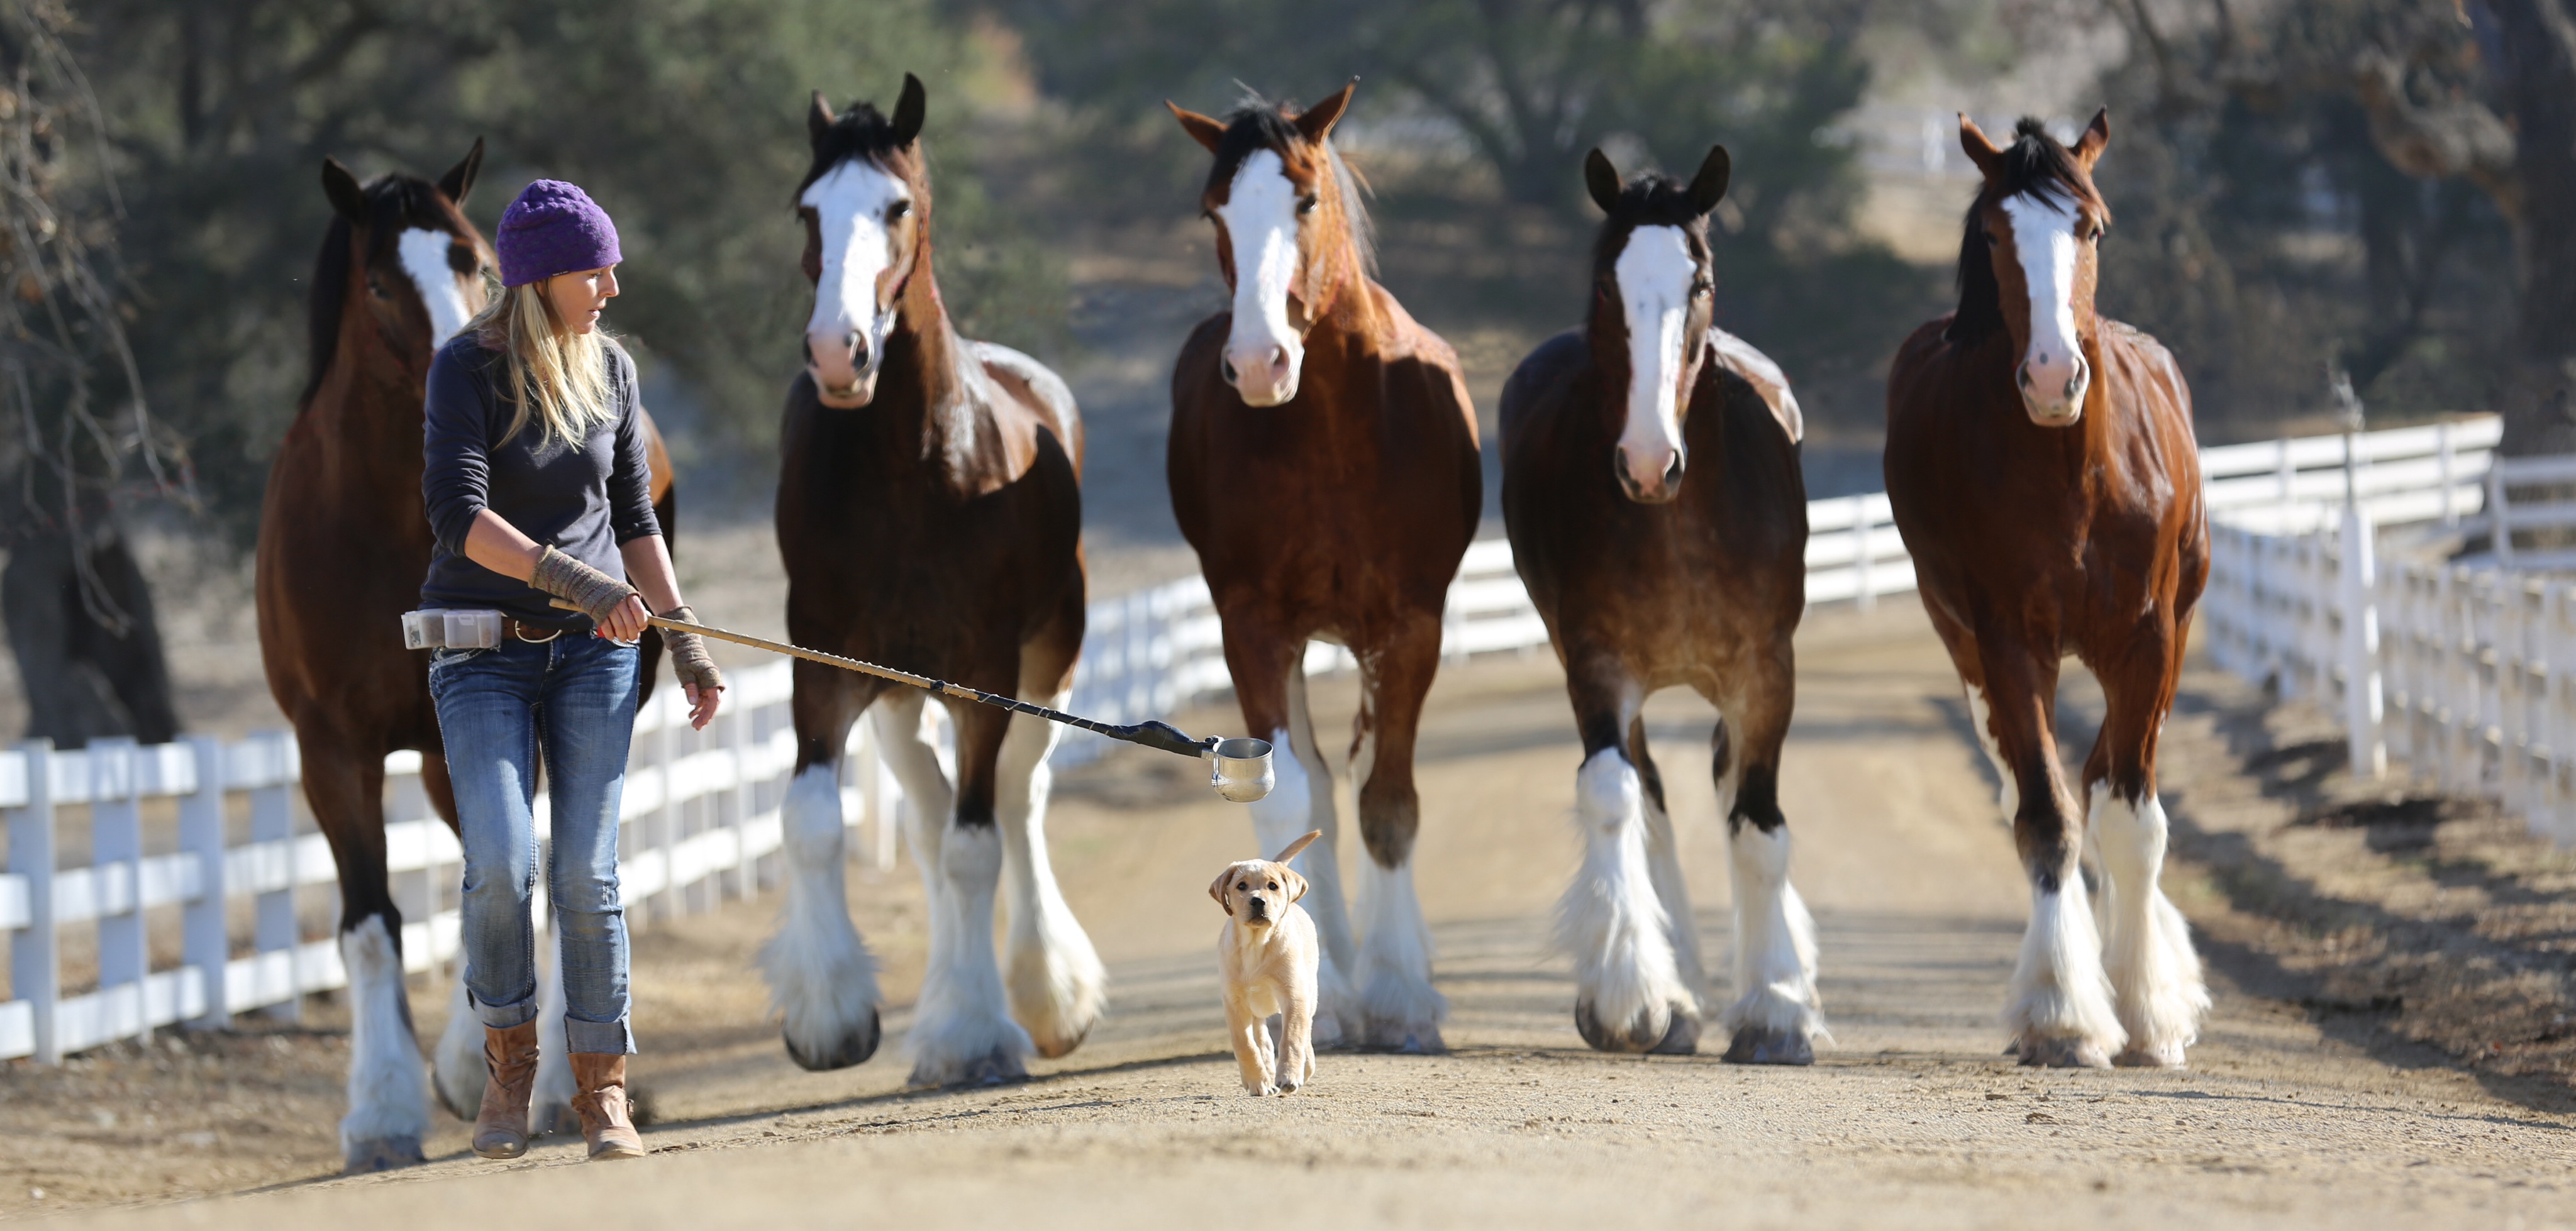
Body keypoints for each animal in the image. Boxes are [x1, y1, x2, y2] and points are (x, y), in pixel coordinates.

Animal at [752, 77, 1097, 1086]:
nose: (840, 352)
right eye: (808, 208)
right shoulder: (824, 664)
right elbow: (812, 820)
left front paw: (975, 1031)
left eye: (896, 206)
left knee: (1013, 802)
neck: (916, 467)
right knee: (926, 813)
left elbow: (978, 846)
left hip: (1045, 663)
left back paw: (1041, 994)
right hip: (904, 695)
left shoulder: (986, 677)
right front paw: (829, 1015)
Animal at [1164, 84, 1473, 1051]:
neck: (1334, 432)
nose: (1258, 363)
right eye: (1214, 210)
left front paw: (1403, 992)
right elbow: (1297, 802)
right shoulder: (1254, 626)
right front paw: (1332, 993)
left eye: (1303, 198)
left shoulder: (1409, 628)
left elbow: (1391, 800)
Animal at [1211, 834, 1329, 1091]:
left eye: (1273, 886)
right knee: (1262, 1038)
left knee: (1305, 1031)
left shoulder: (1293, 995)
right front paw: (1258, 1081)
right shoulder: (1234, 1003)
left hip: (1310, 992)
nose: (1258, 901)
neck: (1256, 944)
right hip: (1255, 1009)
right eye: (1241, 886)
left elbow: (1292, 1037)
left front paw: (1289, 1075)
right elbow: (1245, 1044)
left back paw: (1305, 1067)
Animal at [1504, 151, 1823, 1056]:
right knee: (1647, 793)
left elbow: (1758, 825)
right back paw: (1675, 988)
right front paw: (1631, 998)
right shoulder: (1598, 665)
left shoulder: (1765, 670)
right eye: (1606, 283)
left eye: (1700, 280)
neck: (1674, 519)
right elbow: (1615, 798)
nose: (1648, 461)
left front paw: (1777, 1004)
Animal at [1875, 115, 2215, 1071]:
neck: (2073, 472)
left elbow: (2130, 817)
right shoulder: (2007, 641)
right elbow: (2046, 816)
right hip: (1965, 643)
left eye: (2089, 227)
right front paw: (2064, 1013)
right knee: (2052, 794)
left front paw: (2150, 1011)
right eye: (1995, 234)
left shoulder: (2147, 639)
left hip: (2169, 638)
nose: (2053, 377)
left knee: (2110, 786)